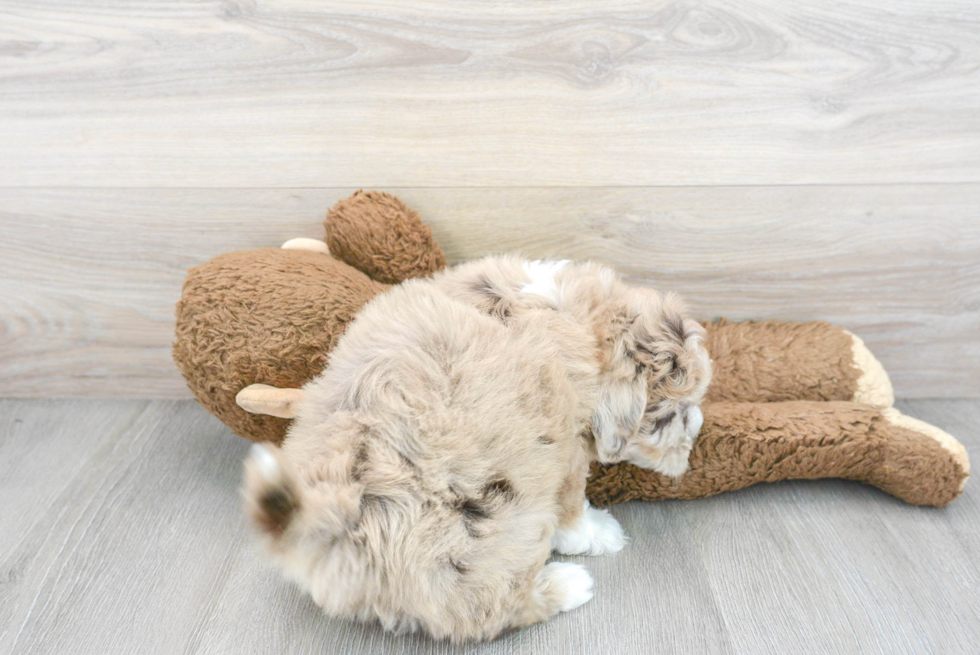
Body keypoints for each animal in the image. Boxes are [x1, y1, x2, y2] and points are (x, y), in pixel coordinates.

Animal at [237, 256, 712, 640]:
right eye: (669, 417)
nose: (697, 428)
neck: (584, 324)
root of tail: (330, 524)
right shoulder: (565, 448)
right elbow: (572, 504)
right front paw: (597, 533)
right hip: (494, 534)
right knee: (491, 614)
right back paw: (567, 585)